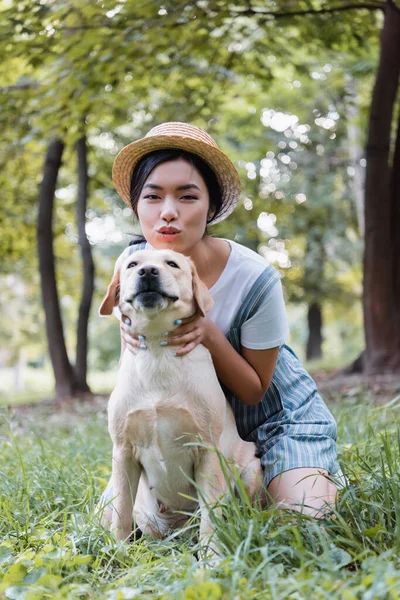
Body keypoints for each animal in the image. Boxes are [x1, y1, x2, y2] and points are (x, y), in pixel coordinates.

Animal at [99, 247, 262, 548]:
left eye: (172, 264)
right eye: (132, 264)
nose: (147, 272)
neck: (156, 350)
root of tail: (179, 533)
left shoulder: (208, 450)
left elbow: (211, 517)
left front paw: (211, 554)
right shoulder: (123, 452)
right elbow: (121, 513)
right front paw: (119, 550)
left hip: (252, 470)